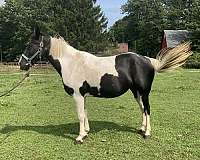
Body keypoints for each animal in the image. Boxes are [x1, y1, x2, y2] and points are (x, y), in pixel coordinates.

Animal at [19, 27, 191, 144]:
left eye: (30, 45)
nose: (21, 64)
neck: (71, 63)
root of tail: (148, 60)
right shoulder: (83, 95)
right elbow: (85, 113)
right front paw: (86, 132)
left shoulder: (77, 95)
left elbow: (80, 115)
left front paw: (79, 137)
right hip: (136, 92)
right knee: (142, 108)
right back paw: (141, 129)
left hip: (144, 92)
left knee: (147, 109)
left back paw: (147, 133)